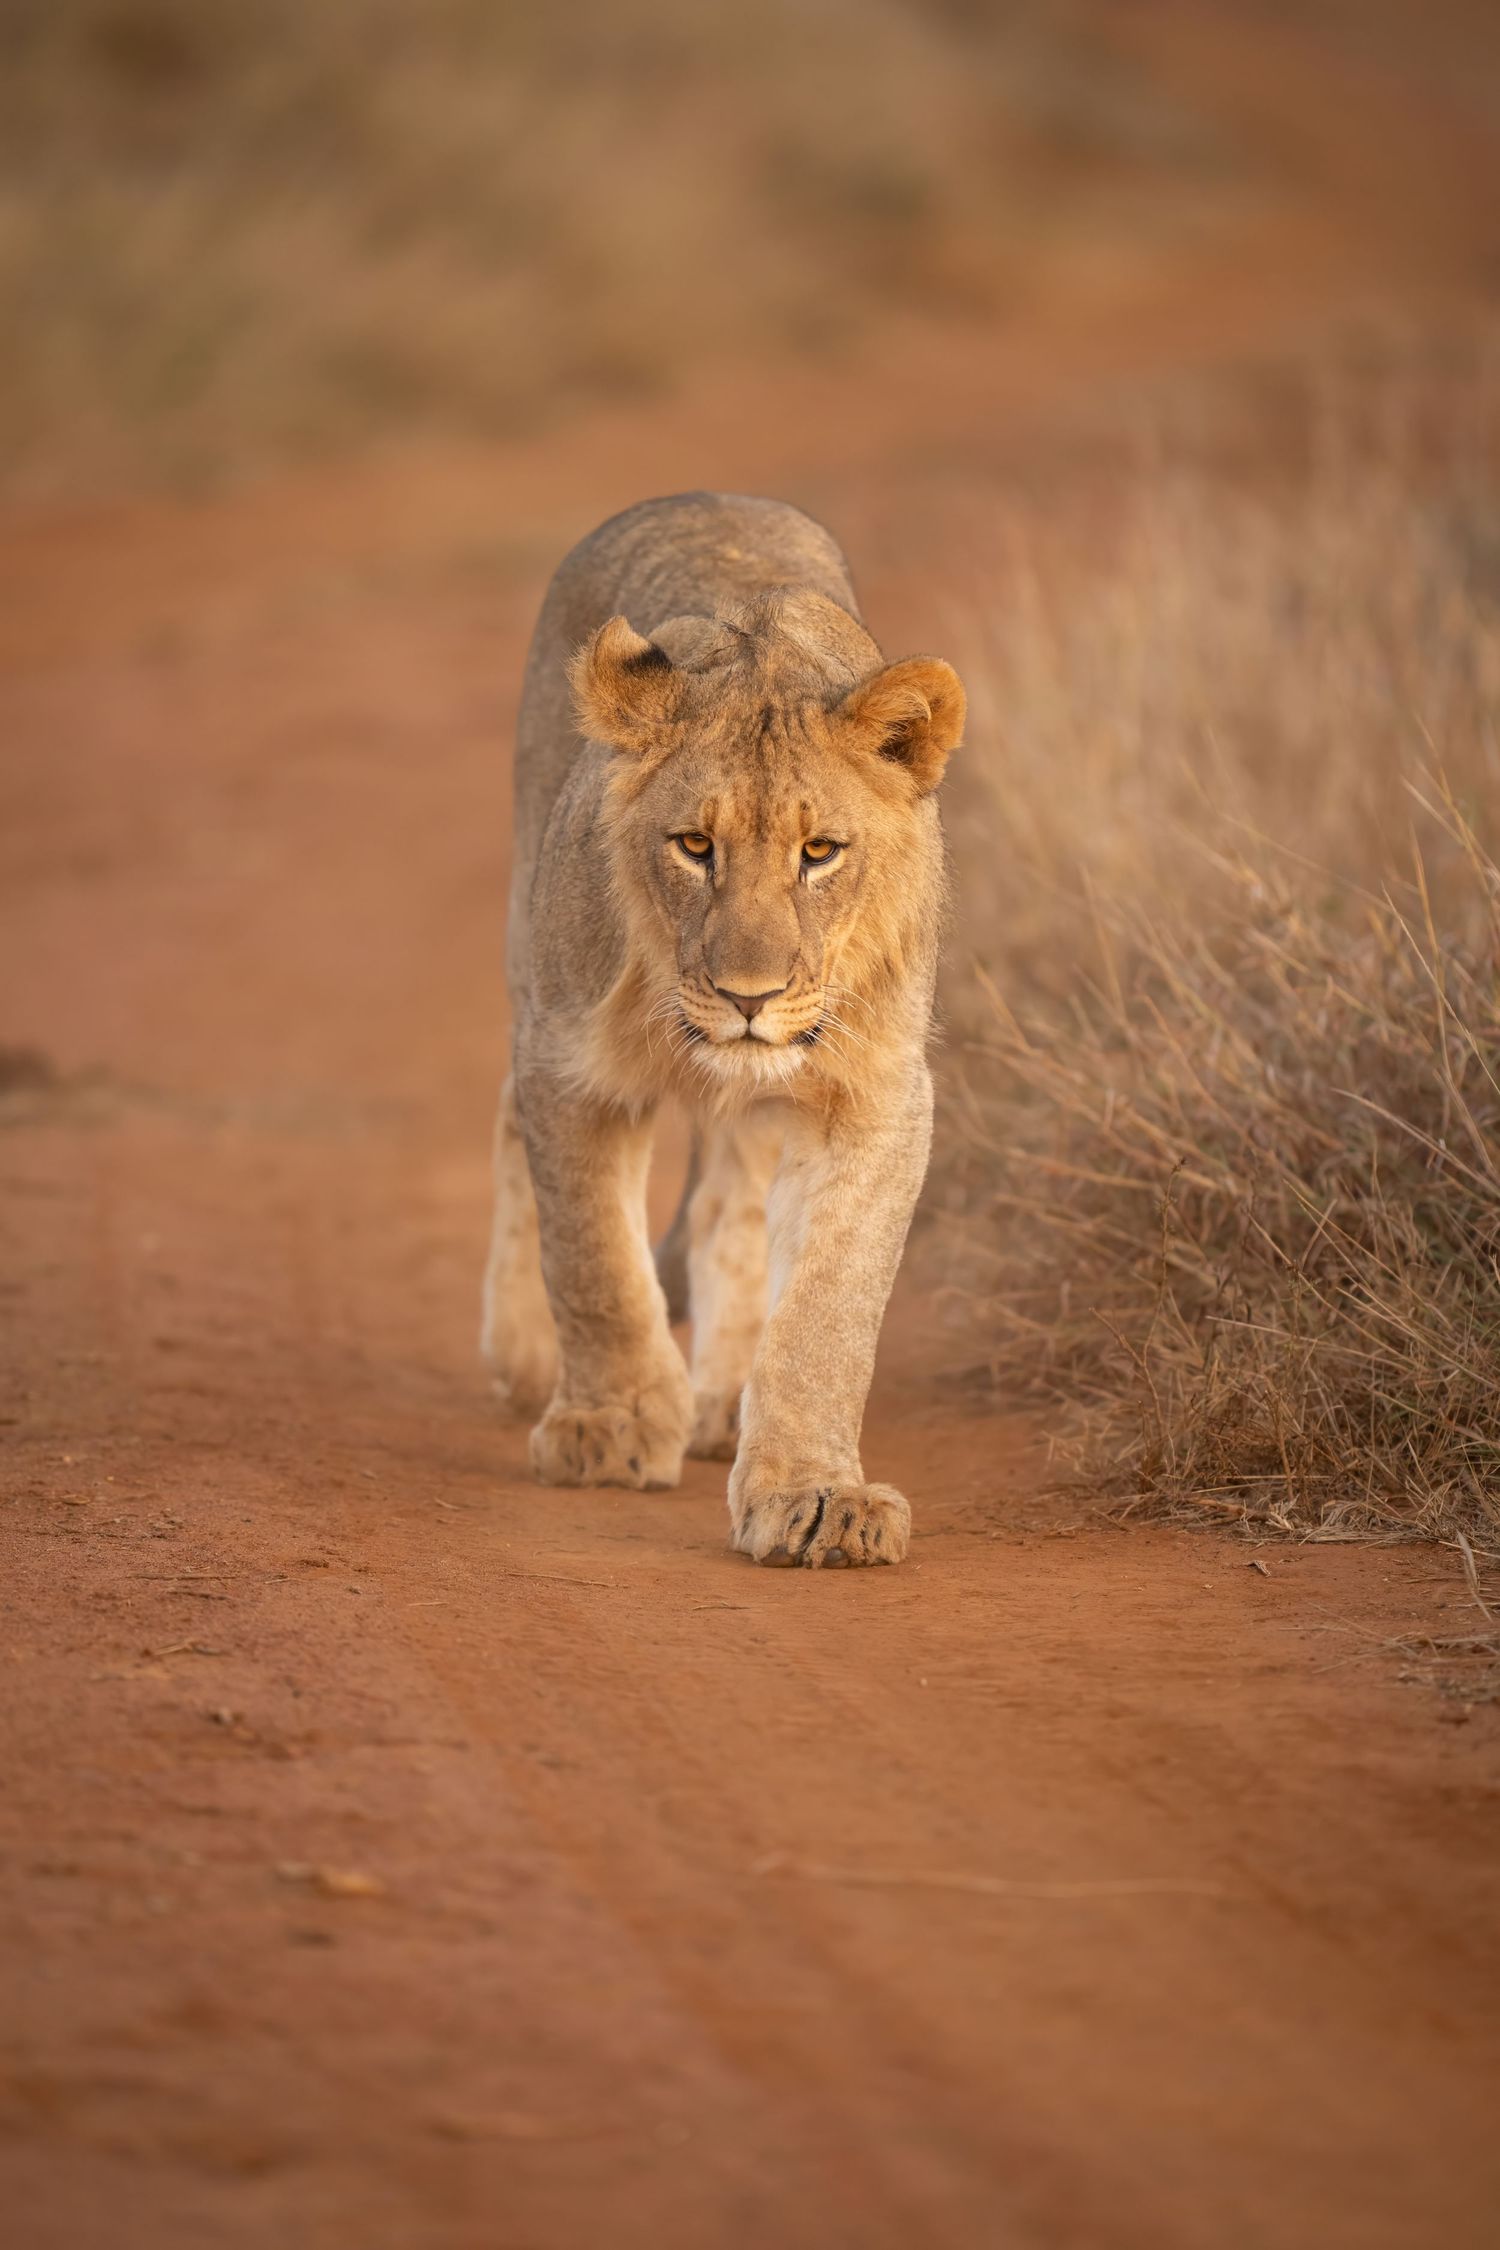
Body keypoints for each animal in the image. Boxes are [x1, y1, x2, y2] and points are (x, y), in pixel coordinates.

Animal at [480, 492, 964, 1567]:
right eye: (694, 846)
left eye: (819, 852)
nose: (751, 996)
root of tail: (702, 496)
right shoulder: (570, 1067)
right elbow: (594, 1260)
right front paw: (611, 1423)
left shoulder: (876, 1096)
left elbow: (827, 1309)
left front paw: (817, 1494)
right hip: (528, 935)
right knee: (510, 1122)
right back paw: (518, 1357)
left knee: (728, 1207)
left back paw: (720, 1402)